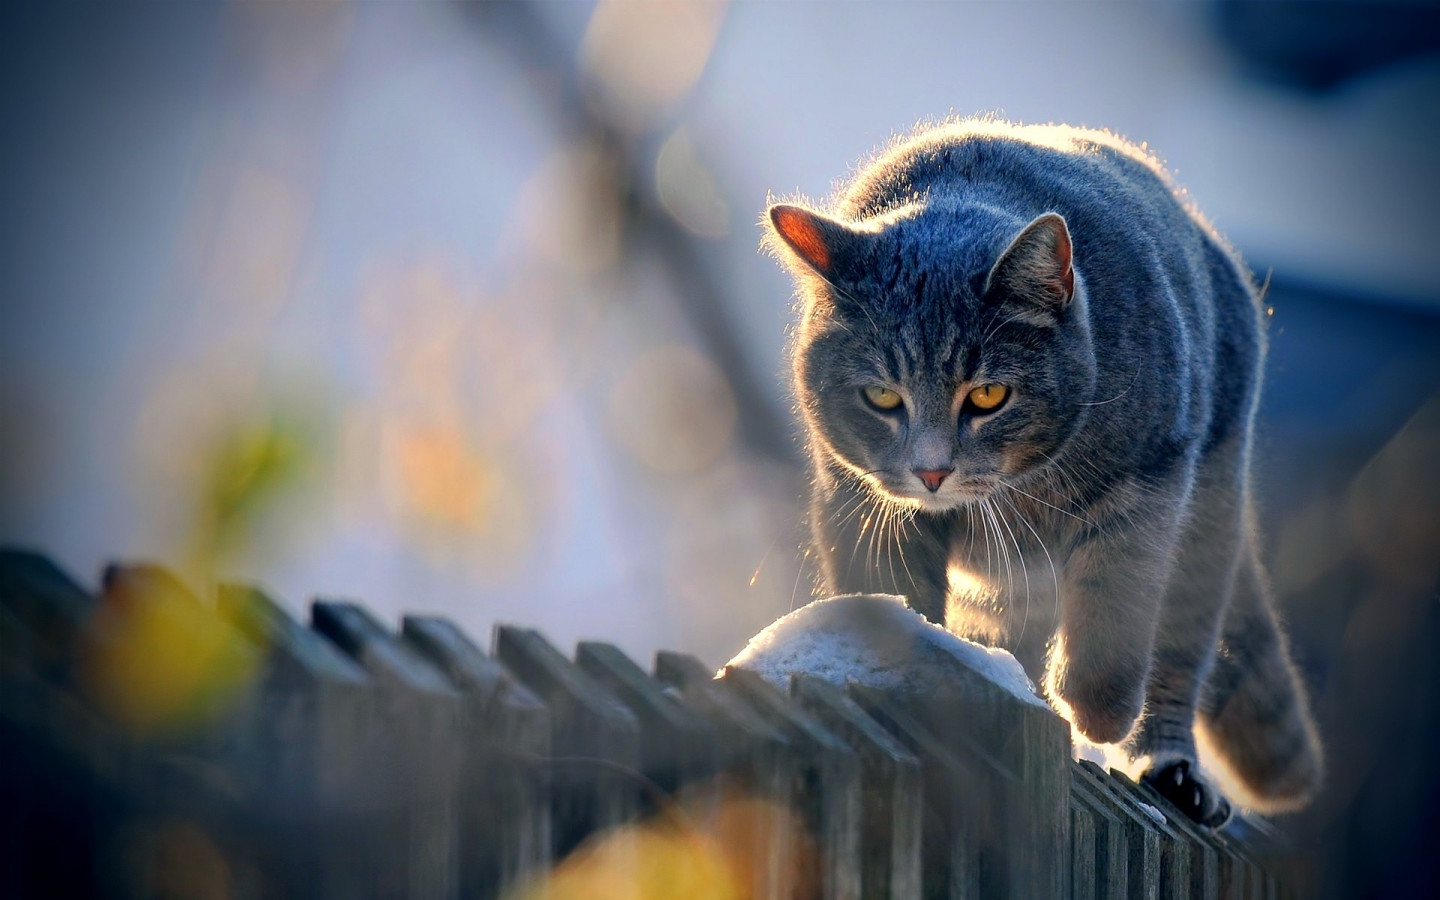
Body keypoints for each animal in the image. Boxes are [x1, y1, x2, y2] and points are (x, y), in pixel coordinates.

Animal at [766, 119, 1324, 829]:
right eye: (883, 397)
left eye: (988, 395)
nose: (931, 471)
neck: (1021, 491)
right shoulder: (862, 505)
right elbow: (894, 596)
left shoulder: (1149, 486)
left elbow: (1114, 614)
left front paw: (1096, 712)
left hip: (1209, 520)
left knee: (1177, 654)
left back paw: (1170, 769)